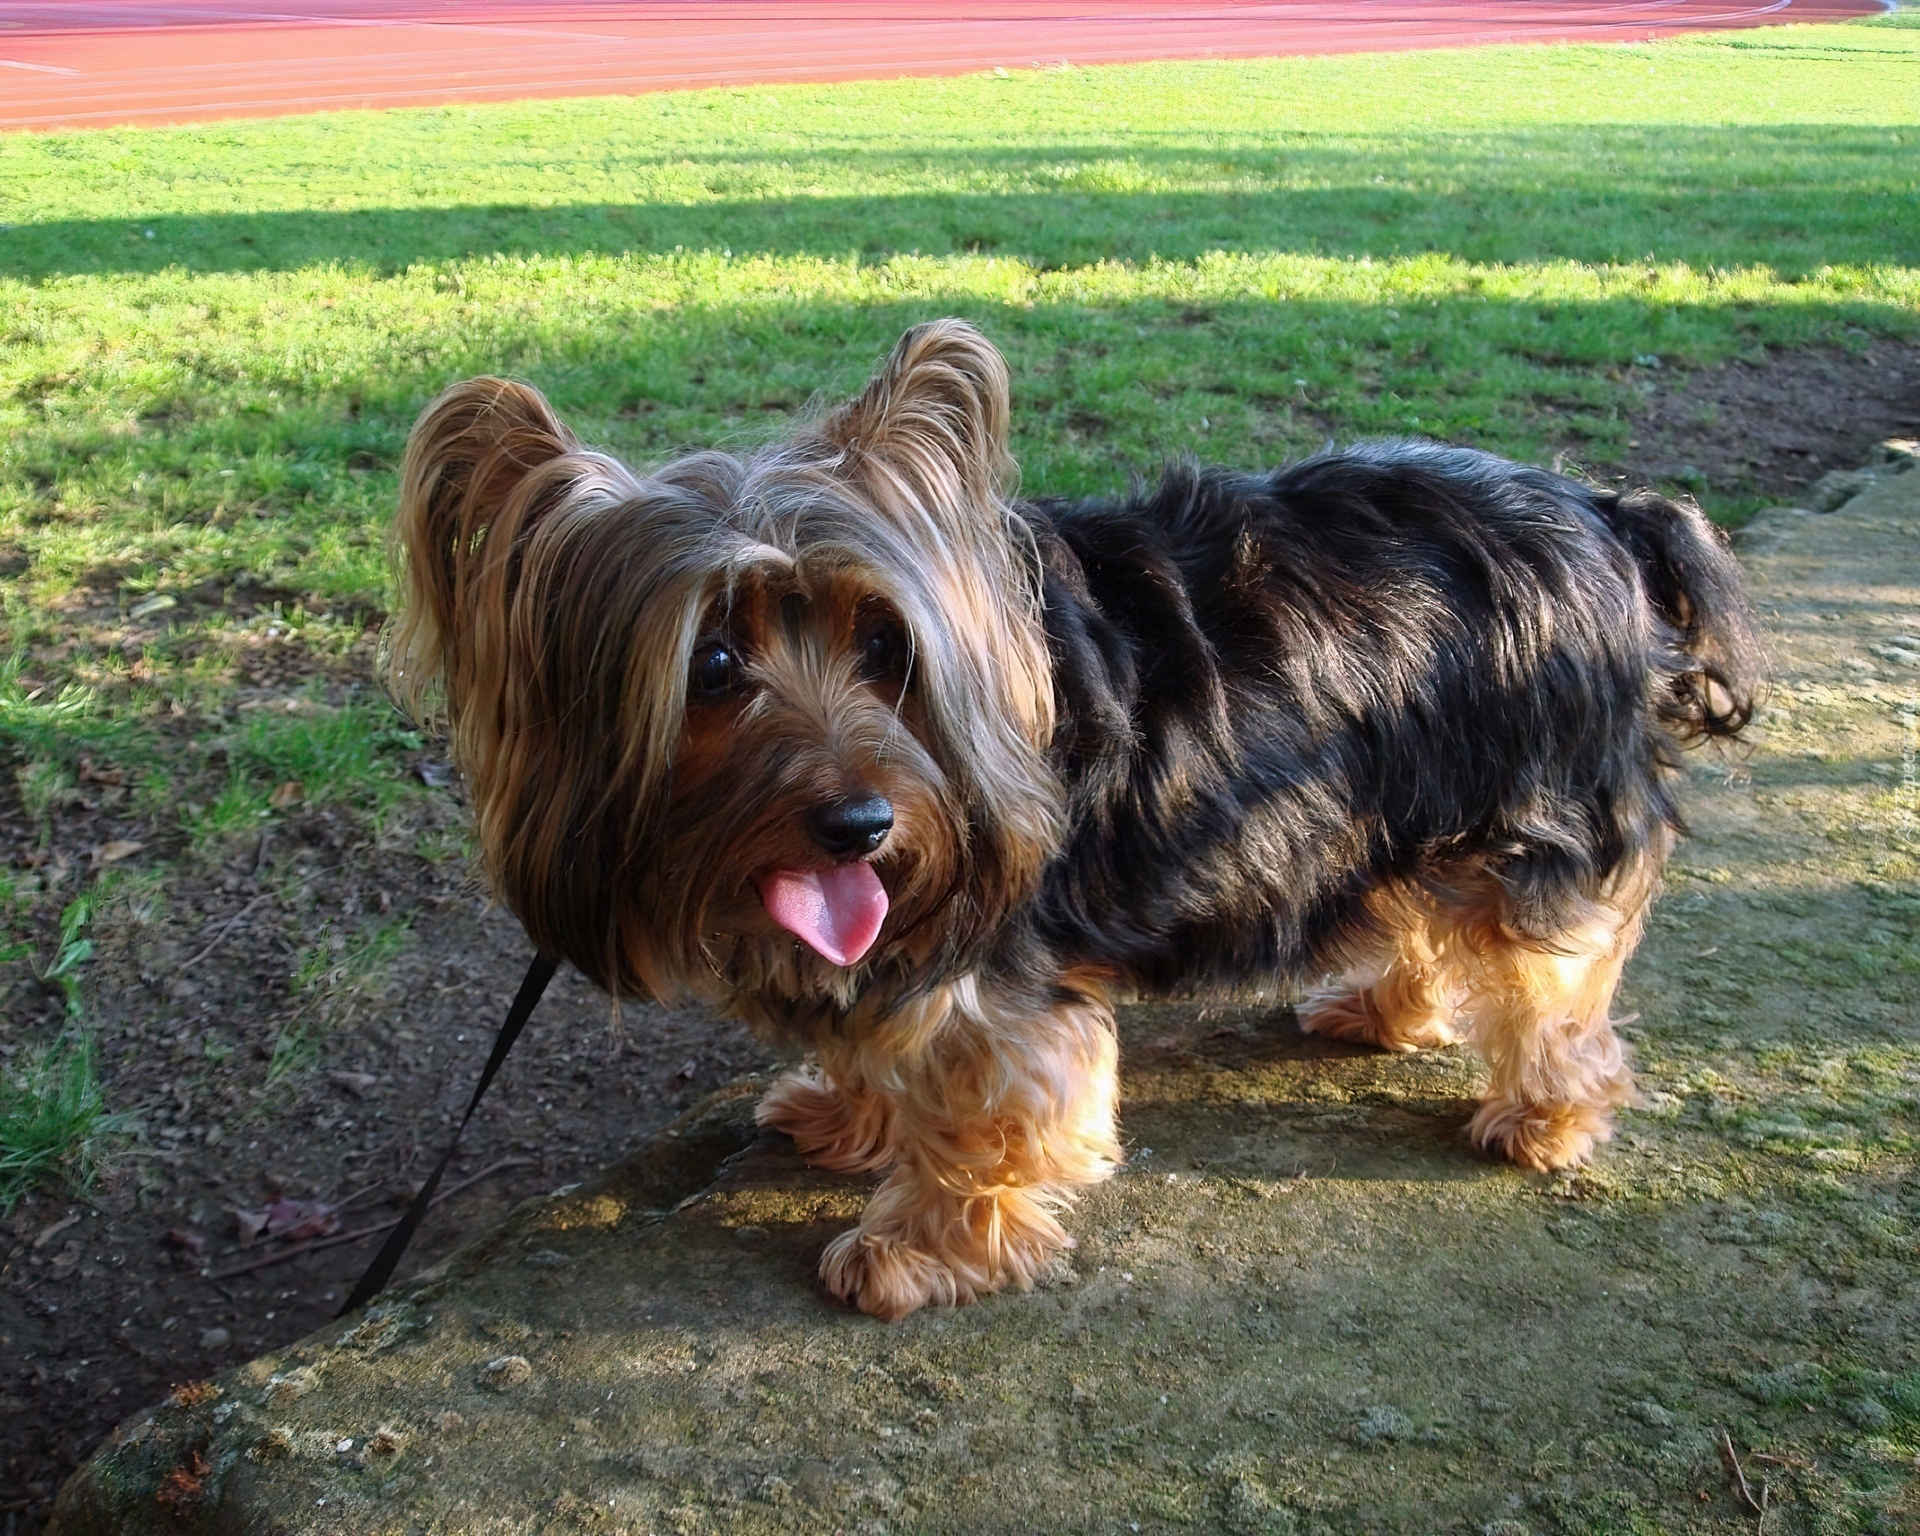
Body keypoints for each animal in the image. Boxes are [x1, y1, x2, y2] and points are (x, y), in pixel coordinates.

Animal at [382, 320, 1758, 1320]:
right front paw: (846, 1116)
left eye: (886, 648)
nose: (861, 824)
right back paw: (1383, 1009)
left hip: (1532, 813)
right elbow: (877, 1042)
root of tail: (1609, 516)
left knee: (1551, 975)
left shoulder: (990, 966)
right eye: (712, 665)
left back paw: (1542, 1119)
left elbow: (988, 1113)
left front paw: (920, 1248)